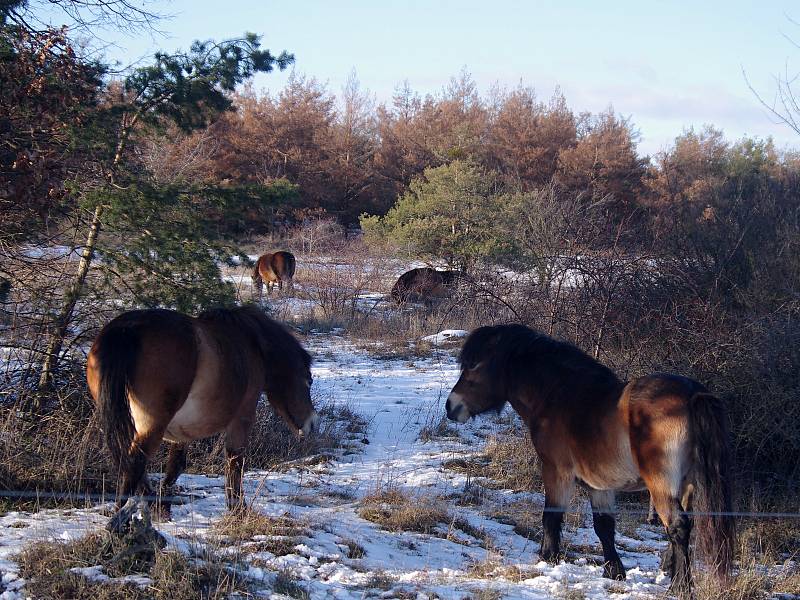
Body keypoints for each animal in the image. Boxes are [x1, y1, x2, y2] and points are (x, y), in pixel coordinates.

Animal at [84, 304, 316, 510]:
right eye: (309, 380)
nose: (313, 424)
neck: (252, 346)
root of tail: (127, 329)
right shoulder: (242, 418)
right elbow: (235, 462)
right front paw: (238, 509)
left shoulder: (180, 431)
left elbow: (176, 465)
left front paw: (163, 503)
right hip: (152, 425)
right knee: (134, 464)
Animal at [446, 326, 736, 596]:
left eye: (474, 364)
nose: (451, 406)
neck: (557, 397)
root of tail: (692, 395)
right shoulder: (600, 485)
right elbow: (604, 526)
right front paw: (614, 571)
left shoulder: (556, 471)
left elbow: (552, 515)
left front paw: (548, 557)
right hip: (687, 486)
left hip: (662, 486)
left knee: (678, 527)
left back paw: (680, 587)